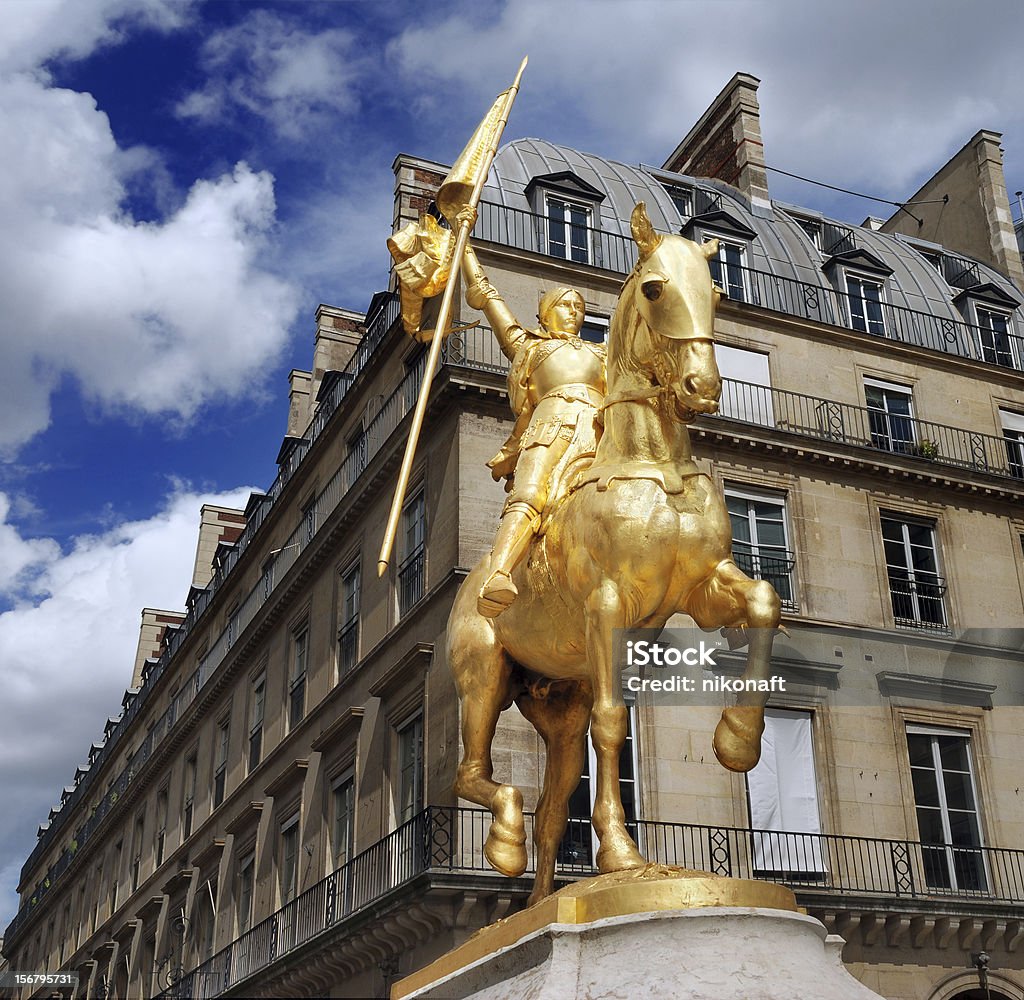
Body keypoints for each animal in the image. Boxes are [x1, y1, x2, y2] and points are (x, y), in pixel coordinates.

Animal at [444, 202, 778, 904]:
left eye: (717, 293)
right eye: (653, 288)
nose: (702, 387)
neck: (653, 464)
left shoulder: (703, 588)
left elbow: (765, 600)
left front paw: (736, 741)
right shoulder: (607, 604)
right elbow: (613, 722)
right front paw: (623, 856)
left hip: (556, 709)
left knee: (550, 811)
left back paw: (542, 900)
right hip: (483, 672)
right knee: (472, 772)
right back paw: (505, 842)